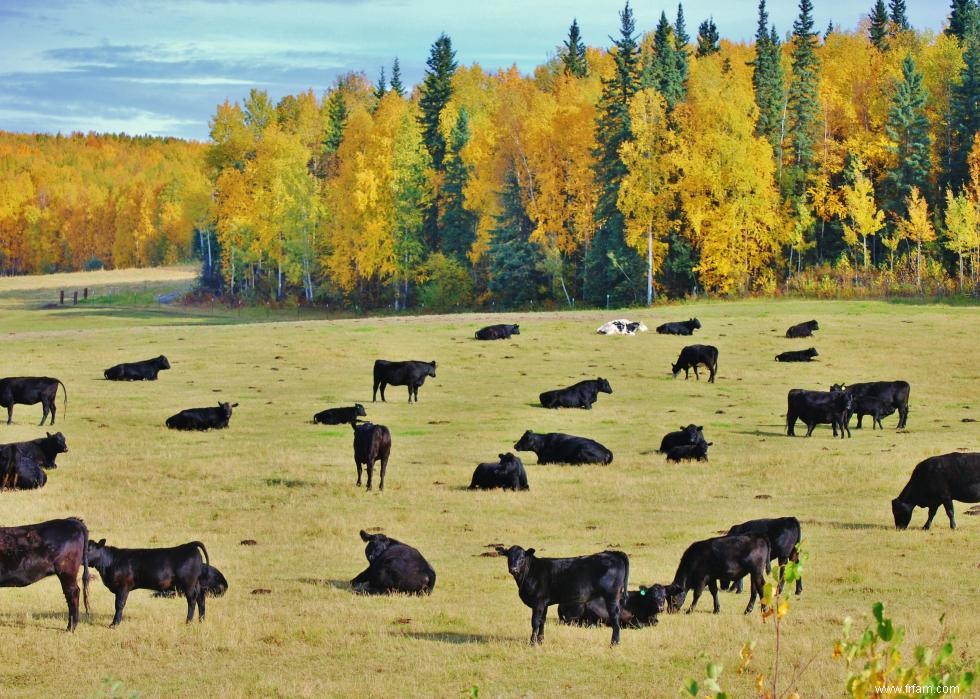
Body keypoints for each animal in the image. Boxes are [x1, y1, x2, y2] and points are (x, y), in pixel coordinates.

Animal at [494, 548, 632, 644]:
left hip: (611, 596)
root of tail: (613, 553)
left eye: (522, 557)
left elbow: (535, 622)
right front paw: (541, 641)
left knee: (615, 617)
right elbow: (542, 621)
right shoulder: (544, 604)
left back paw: (614, 643)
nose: (514, 569)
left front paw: (532, 643)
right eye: (508, 556)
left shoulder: (538, 602)